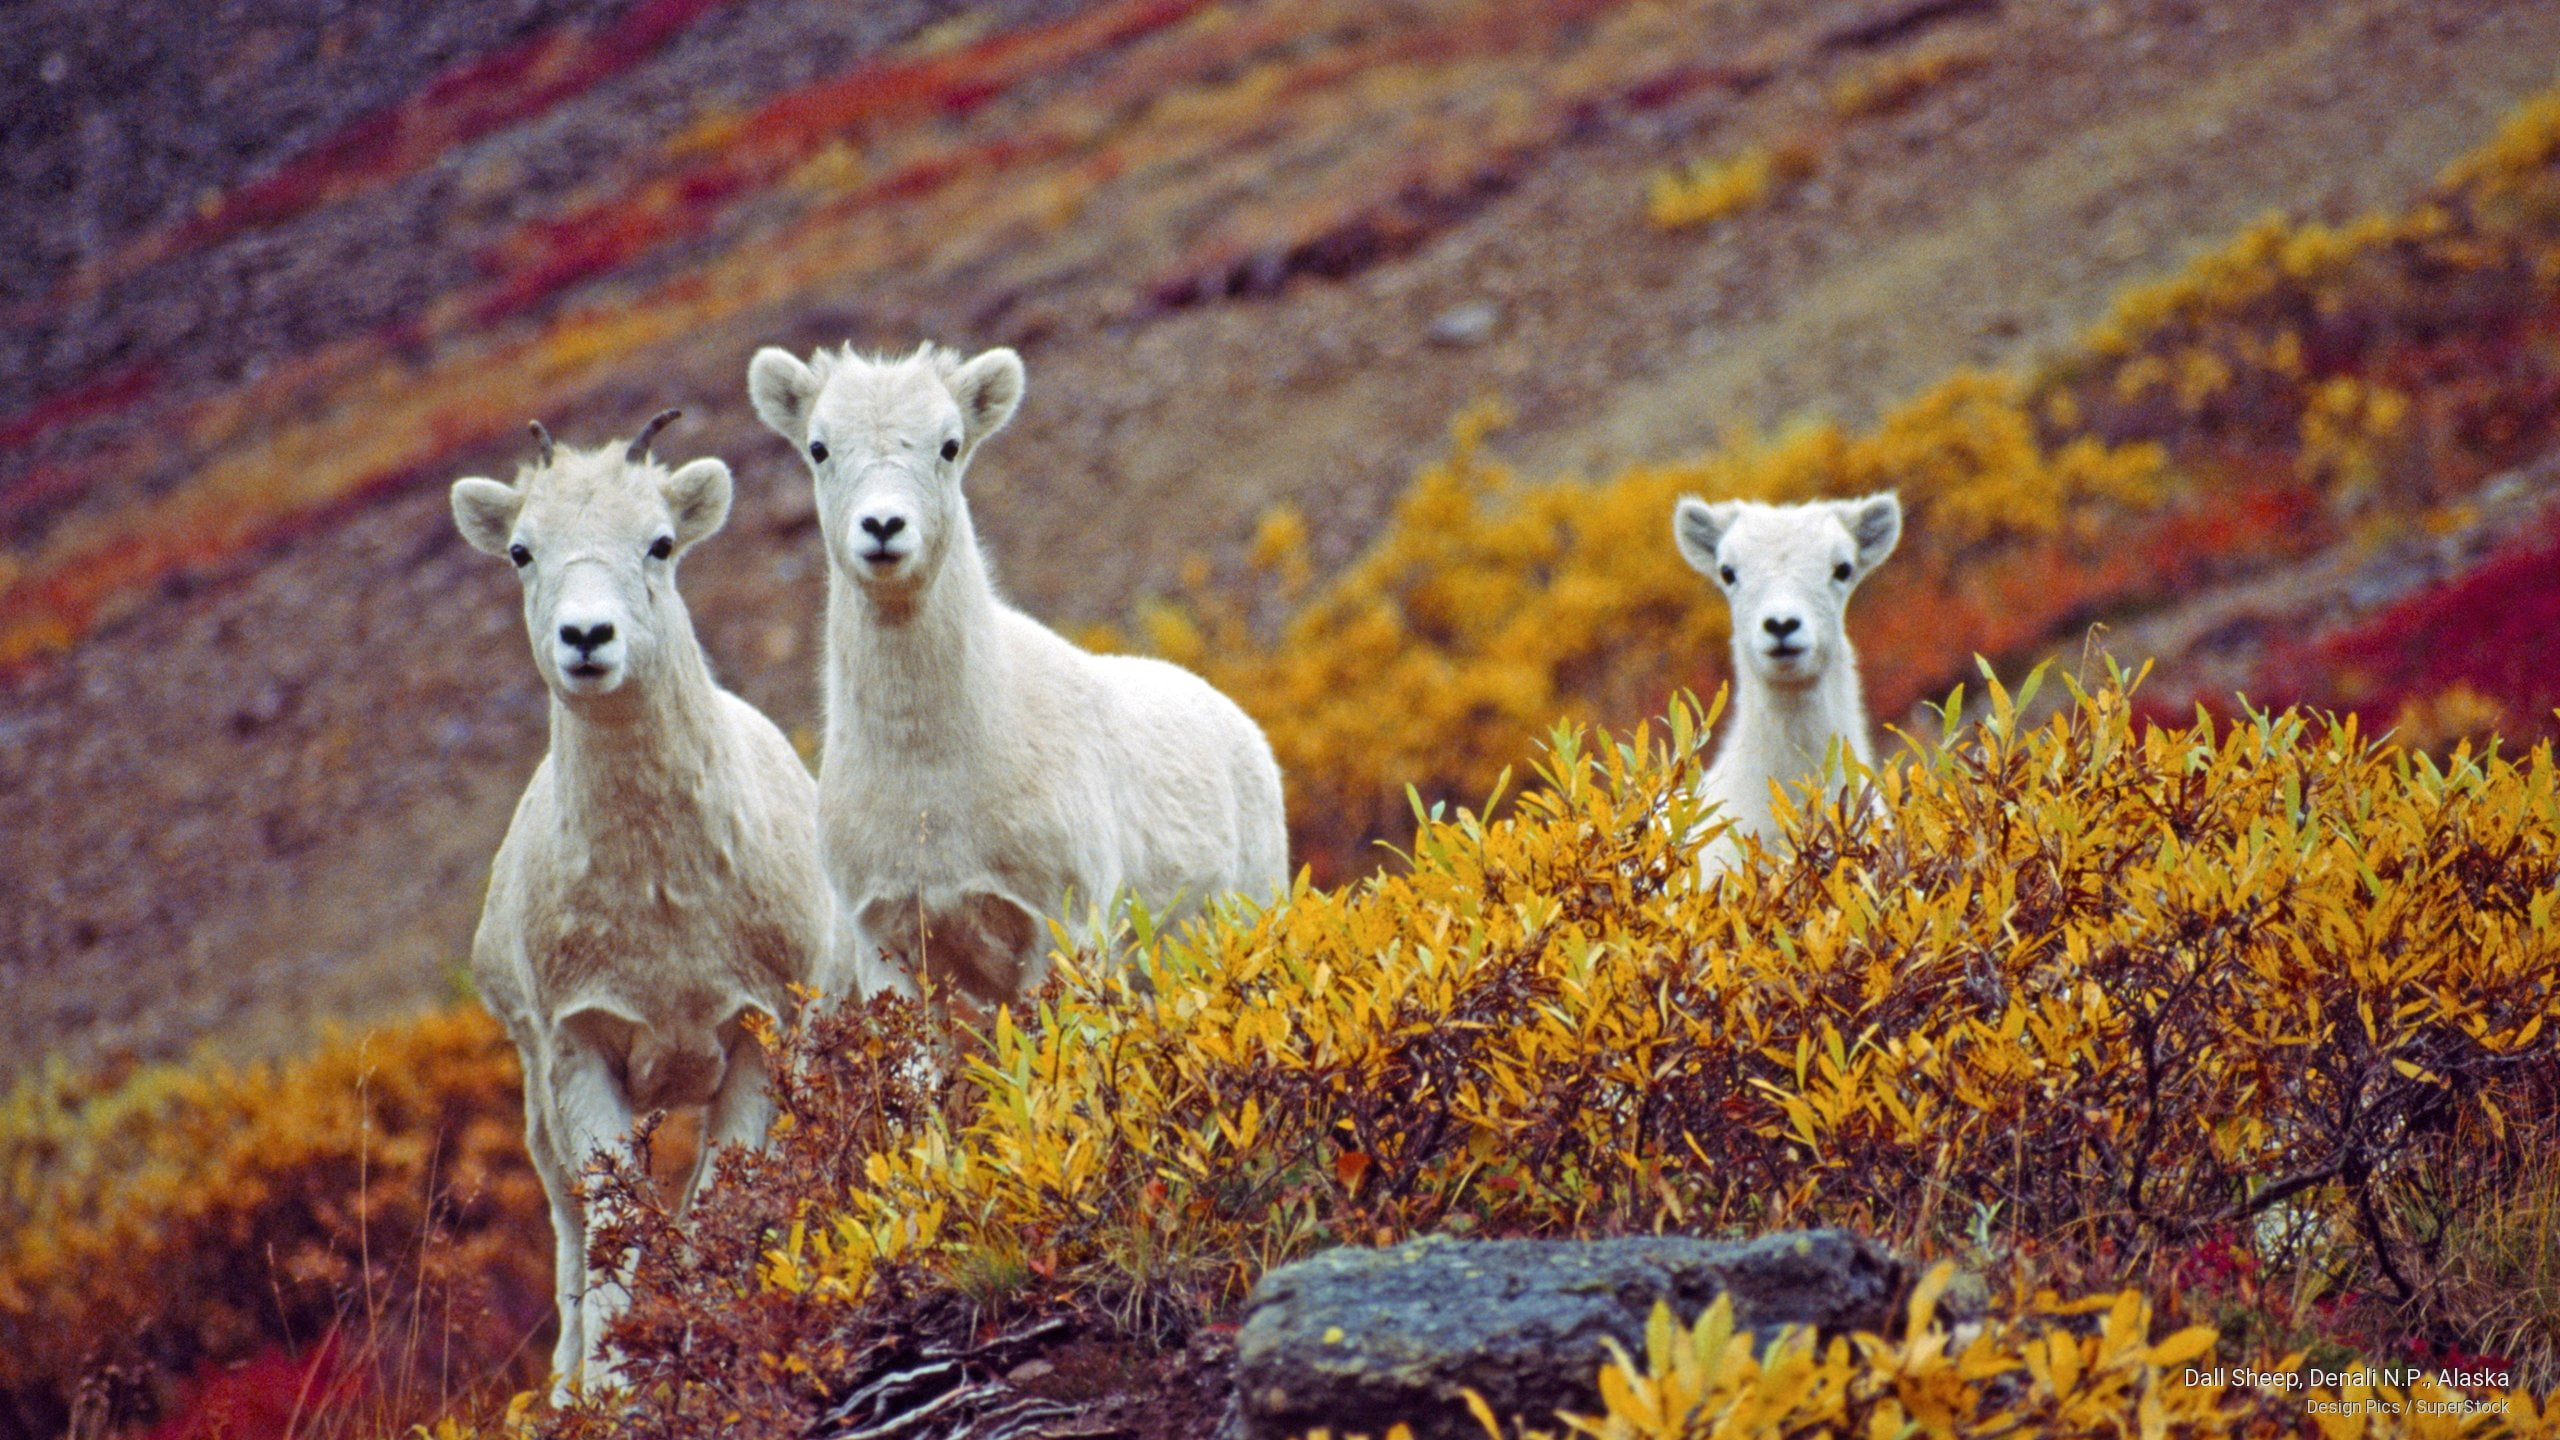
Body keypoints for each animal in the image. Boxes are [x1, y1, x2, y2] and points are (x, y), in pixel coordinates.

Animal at [449, 413, 832, 1400]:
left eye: (659, 544)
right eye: (522, 551)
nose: (588, 637)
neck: (664, 901)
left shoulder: (754, 1041)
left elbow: (713, 1213)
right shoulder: (579, 1052)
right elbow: (613, 1247)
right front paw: (613, 1394)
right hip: (537, 1102)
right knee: (569, 1231)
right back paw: (563, 1388)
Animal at [746, 341, 1288, 1015]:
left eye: (950, 445)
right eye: (819, 448)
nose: (883, 527)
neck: (931, 783)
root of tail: (1239, 722)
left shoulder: (1060, 926)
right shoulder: (885, 944)